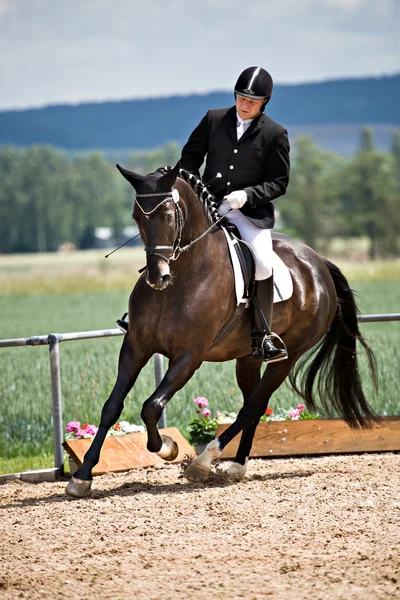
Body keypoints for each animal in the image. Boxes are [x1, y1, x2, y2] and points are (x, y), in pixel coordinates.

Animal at [65, 161, 378, 496]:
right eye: (137, 217)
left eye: (168, 215)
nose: (157, 277)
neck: (181, 278)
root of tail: (318, 262)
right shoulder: (136, 345)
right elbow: (112, 406)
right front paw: (81, 476)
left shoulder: (189, 355)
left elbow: (152, 406)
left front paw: (168, 447)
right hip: (248, 358)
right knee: (254, 405)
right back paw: (237, 465)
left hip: (289, 355)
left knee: (253, 406)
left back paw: (204, 461)